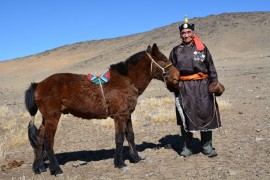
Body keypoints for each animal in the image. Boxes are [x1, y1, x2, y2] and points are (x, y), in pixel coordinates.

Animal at [25, 43, 180, 176]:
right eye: (164, 59)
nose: (177, 76)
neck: (127, 80)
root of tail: (38, 84)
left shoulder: (127, 114)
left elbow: (130, 135)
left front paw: (136, 157)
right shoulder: (119, 116)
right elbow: (119, 138)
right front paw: (119, 163)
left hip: (46, 118)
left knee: (39, 139)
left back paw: (39, 167)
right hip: (53, 117)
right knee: (48, 141)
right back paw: (56, 169)